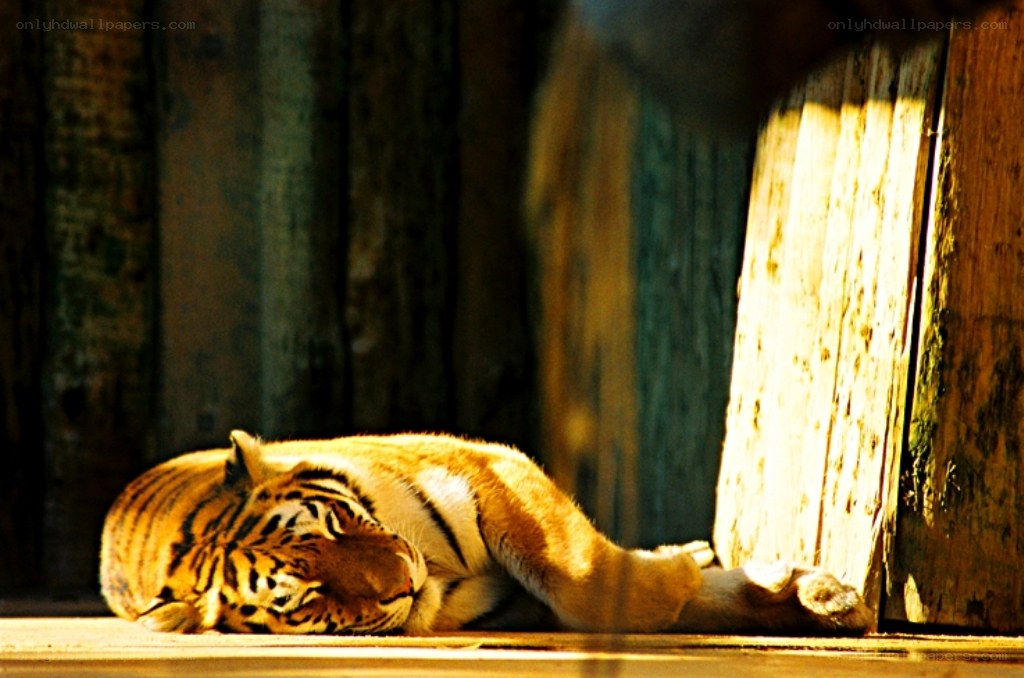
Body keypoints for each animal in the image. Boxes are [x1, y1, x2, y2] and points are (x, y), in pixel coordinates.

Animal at [100, 430, 873, 635]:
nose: (403, 582)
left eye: (341, 525)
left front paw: (680, 561)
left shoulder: (485, 464)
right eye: (310, 595)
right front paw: (684, 566)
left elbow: (581, 575)